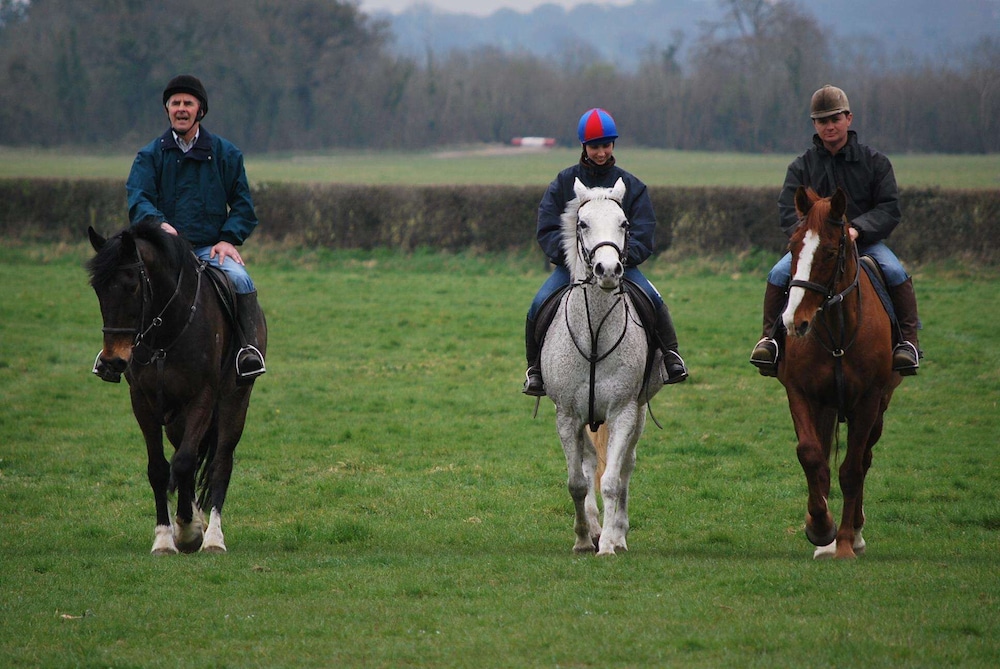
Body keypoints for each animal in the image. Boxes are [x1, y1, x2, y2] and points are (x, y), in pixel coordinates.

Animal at [87, 219, 266, 552]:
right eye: (97, 288)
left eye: (132, 285)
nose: (114, 360)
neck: (165, 332)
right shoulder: (142, 401)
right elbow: (160, 468)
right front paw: (164, 537)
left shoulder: (202, 397)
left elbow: (183, 462)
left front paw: (187, 531)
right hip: (173, 419)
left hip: (234, 401)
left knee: (219, 461)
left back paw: (213, 536)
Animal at [540, 176, 664, 552]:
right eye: (582, 223)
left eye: (624, 224)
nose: (607, 271)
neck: (595, 332)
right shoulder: (567, 416)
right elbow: (577, 482)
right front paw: (584, 538)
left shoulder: (623, 411)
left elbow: (611, 481)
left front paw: (609, 542)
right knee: (590, 464)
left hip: (638, 410)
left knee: (624, 469)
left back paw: (617, 533)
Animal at [776, 188, 904, 560]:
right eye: (793, 246)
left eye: (831, 252)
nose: (793, 321)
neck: (836, 333)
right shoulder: (801, 393)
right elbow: (810, 455)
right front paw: (820, 528)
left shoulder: (868, 401)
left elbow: (852, 469)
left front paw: (845, 541)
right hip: (827, 405)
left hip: (880, 405)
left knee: (865, 459)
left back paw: (855, 534)